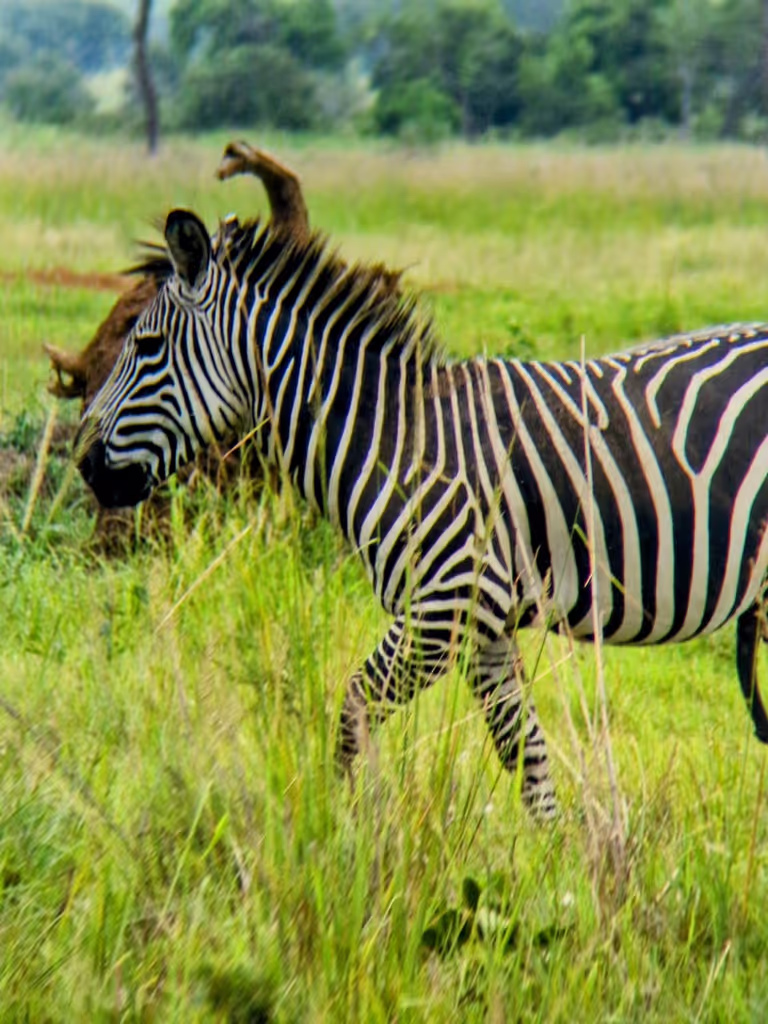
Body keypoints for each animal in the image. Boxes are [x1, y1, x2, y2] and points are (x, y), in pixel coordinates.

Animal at [75, 207, 768, 819]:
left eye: (147, 346)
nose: (84, 465)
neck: (393, 440)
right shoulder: (485, 628)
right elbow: (525, 752)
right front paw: (560, 865)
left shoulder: (445, 607)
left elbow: (353, 711)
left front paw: (346, 832)